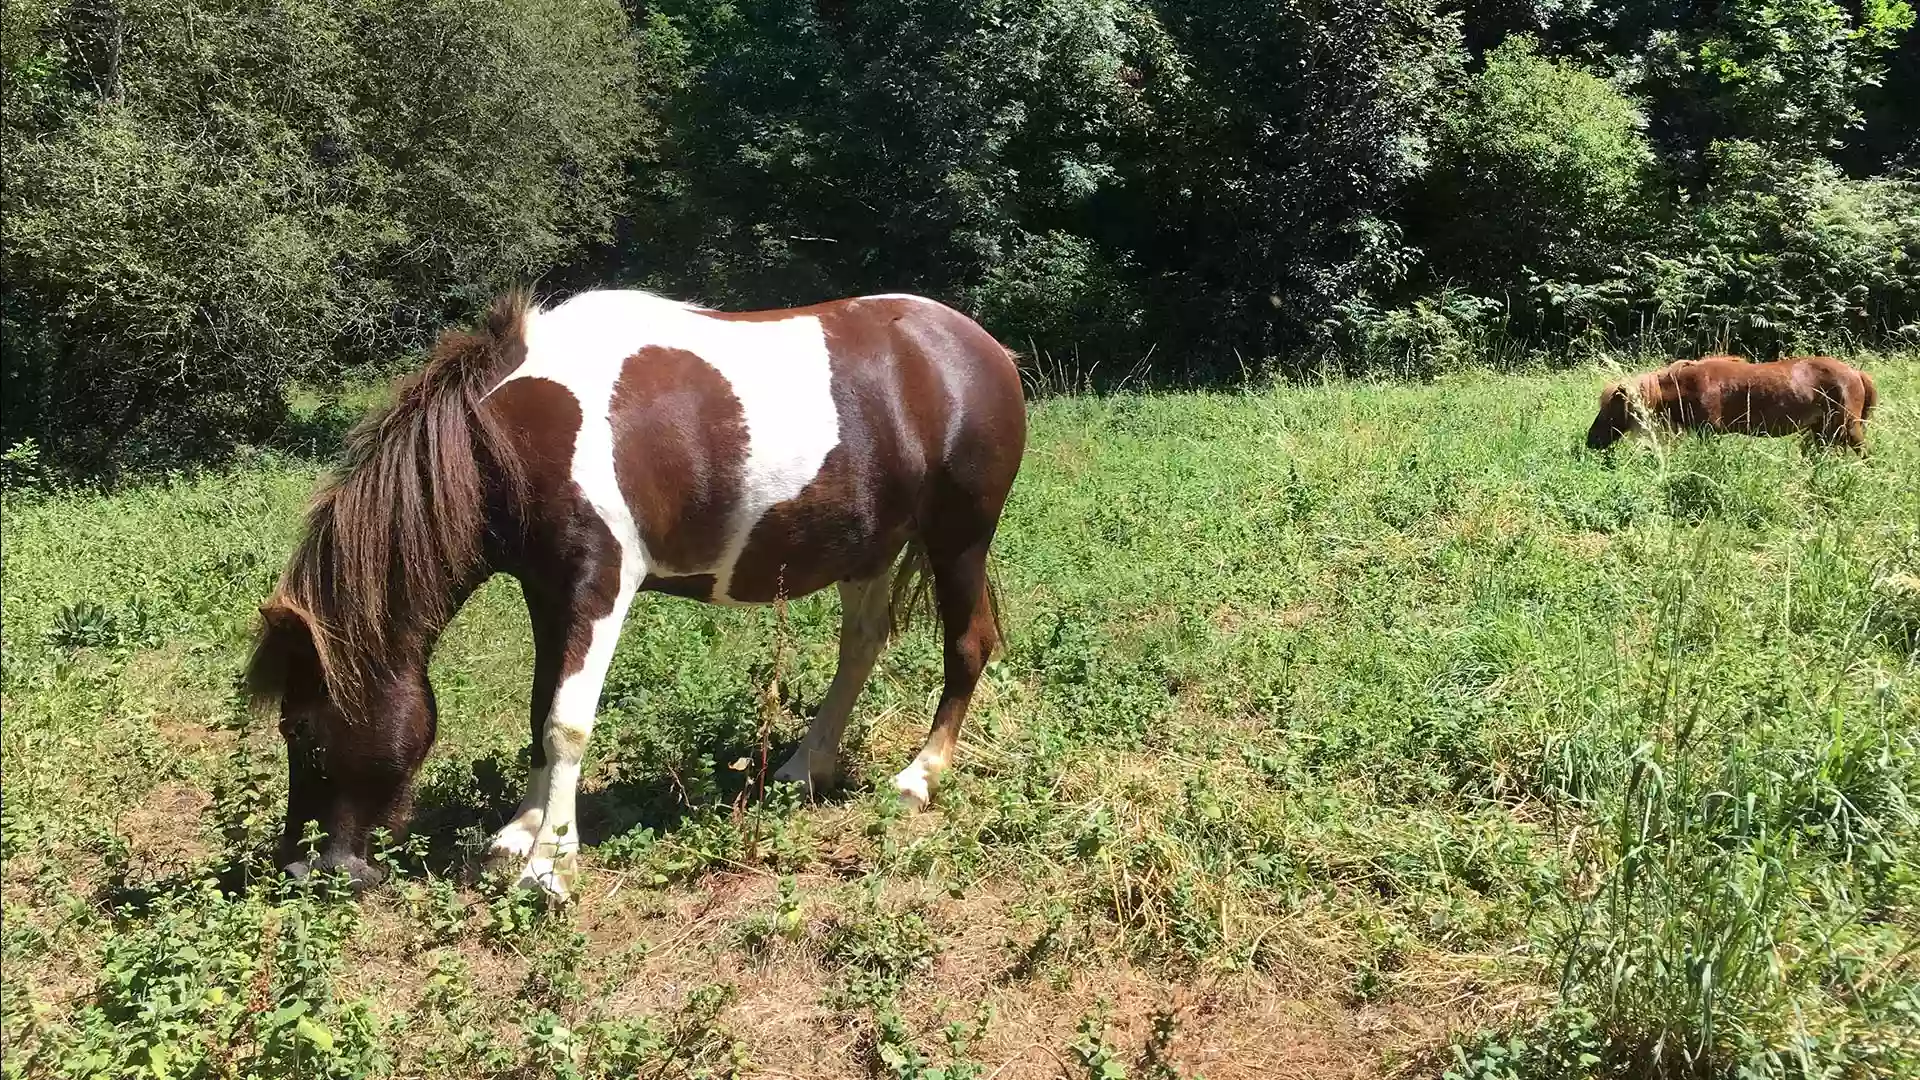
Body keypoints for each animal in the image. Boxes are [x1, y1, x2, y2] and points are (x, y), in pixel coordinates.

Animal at [247, 290, 1029, 895]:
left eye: (300, 728)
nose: (306, 871)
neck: (515, 435)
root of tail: (984, 347)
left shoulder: (599, 585)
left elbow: (567, 722)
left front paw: (549, 868)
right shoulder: (548, 591)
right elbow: (540, 709)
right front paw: (520, 833)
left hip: (958, 539)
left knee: (967, 645)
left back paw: (918, 777)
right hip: (870, 549)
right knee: (861, 649)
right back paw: (805, 768)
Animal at [1589, 353, 1873, 449]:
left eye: (1611, 409)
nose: (1591, 440)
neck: (1687, 386)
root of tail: (1856, 373)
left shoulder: (1708, 431)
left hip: (1847, 428)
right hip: (1822, 432)